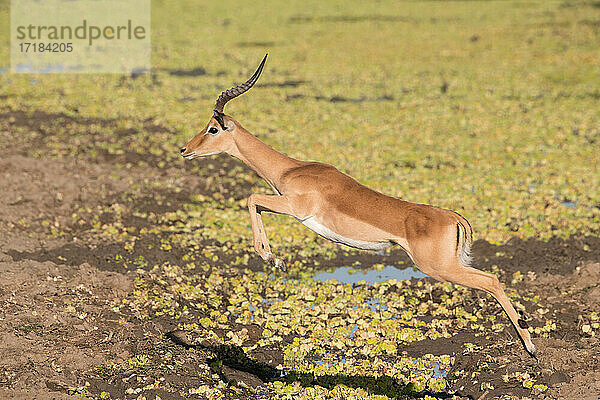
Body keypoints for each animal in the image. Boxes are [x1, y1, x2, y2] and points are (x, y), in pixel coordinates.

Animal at [180, 54, 536, 358]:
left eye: (213, 128)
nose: (185, 149)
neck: (291, 170)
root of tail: (453, 217)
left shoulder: (296, 208)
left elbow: (251, 198)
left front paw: (273, 258)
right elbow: (254, 202)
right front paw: (274, 257)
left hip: (439, 268)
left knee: (492, 280)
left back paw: (530, 346)